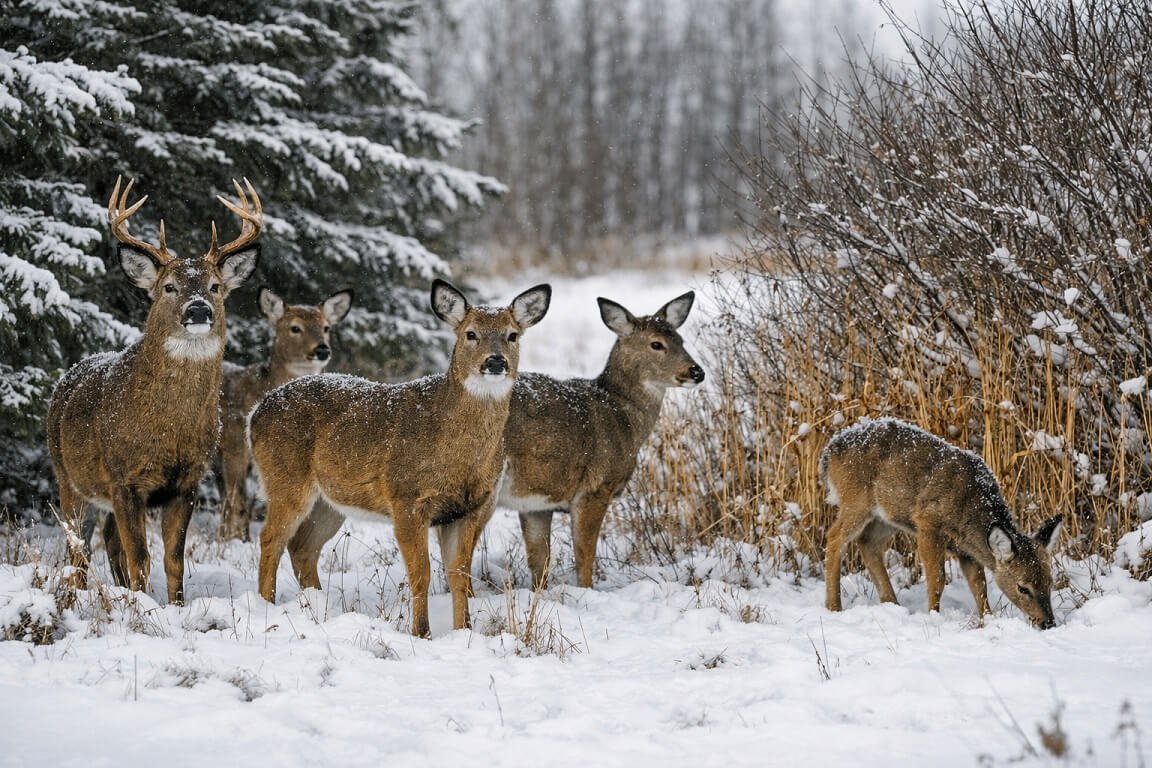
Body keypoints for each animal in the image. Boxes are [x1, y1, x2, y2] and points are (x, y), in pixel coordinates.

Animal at [46, 177, 261, 604]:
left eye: (215, 286)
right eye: (169, 287)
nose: (198, 310)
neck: (169, 430)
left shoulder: (187, 481)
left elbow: (173, 558)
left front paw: (175, 606)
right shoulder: (124, 478)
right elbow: (140, 556)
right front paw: (142, 607)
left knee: (107, 542)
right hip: (67, 476)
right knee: (78, 545)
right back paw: (78, 594)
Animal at [216, 287, 353, 542]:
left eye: (326, 327)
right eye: (295, 327)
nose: (322, 349)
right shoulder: (234, 445)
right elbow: (239, 502)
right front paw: (237, 540)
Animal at [249, 279, 551, 637]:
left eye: (512, 335)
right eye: (471, 333)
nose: (495, 362)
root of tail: (255, 412)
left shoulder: (468, 508)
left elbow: (459, 576)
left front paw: (463, 630)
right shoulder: (406, 497)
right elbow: (421, 573)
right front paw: (421, 632)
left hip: (330, 501)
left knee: (303, 547)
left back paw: (317, 607)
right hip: (285, 477)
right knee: (270, 538)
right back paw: (266, 605)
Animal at [499, 291, 705, 589]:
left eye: (681, 340)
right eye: (656, 344)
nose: (697, 372)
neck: (622, 417)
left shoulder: (536, 502)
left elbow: (539, 563)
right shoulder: (595, 487)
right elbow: (585, 556)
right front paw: (587, 591)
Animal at [821, 417, 1063, 628]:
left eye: (1050, 582)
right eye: (1022, 588)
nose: (1048, 623)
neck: (969, 507)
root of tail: (829, 451)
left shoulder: (966, 550)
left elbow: (979, 585)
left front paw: (987, 618)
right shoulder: (928, 522)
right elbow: (937, 579)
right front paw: (933, 615)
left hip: (886, 515)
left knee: (867, 542)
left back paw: (892, 604)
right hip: (856, 500)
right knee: (835, 537)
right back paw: (834, 607)